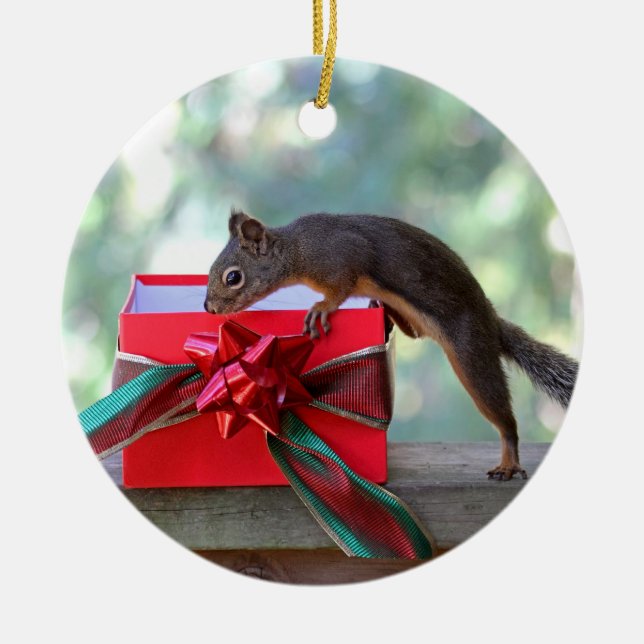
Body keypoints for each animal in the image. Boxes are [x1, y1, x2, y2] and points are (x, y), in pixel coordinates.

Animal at [204, 209, 579, 480]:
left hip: (472, 354)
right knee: (412, 332)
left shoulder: (341, 258)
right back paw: (383, 309)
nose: (208, 308)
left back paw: (509, 463)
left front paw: (322, 308)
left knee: (503, 418)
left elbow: (339, 288)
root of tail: (492, 324)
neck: (297, 250)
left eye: (233, 277)